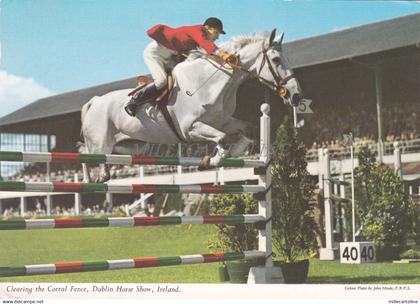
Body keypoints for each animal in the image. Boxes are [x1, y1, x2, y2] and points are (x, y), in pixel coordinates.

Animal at [79, 29, 302, 180]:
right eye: (276, 59)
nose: (296, 96)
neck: (212, 83)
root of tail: (95, 101)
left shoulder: (223, 121)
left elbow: (247, 129)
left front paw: (227, 155)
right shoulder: (191, 128)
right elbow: (221, 138)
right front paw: (214, 159)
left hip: (129, 145)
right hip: (101, 143)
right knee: (86, 156)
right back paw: (95, 177)